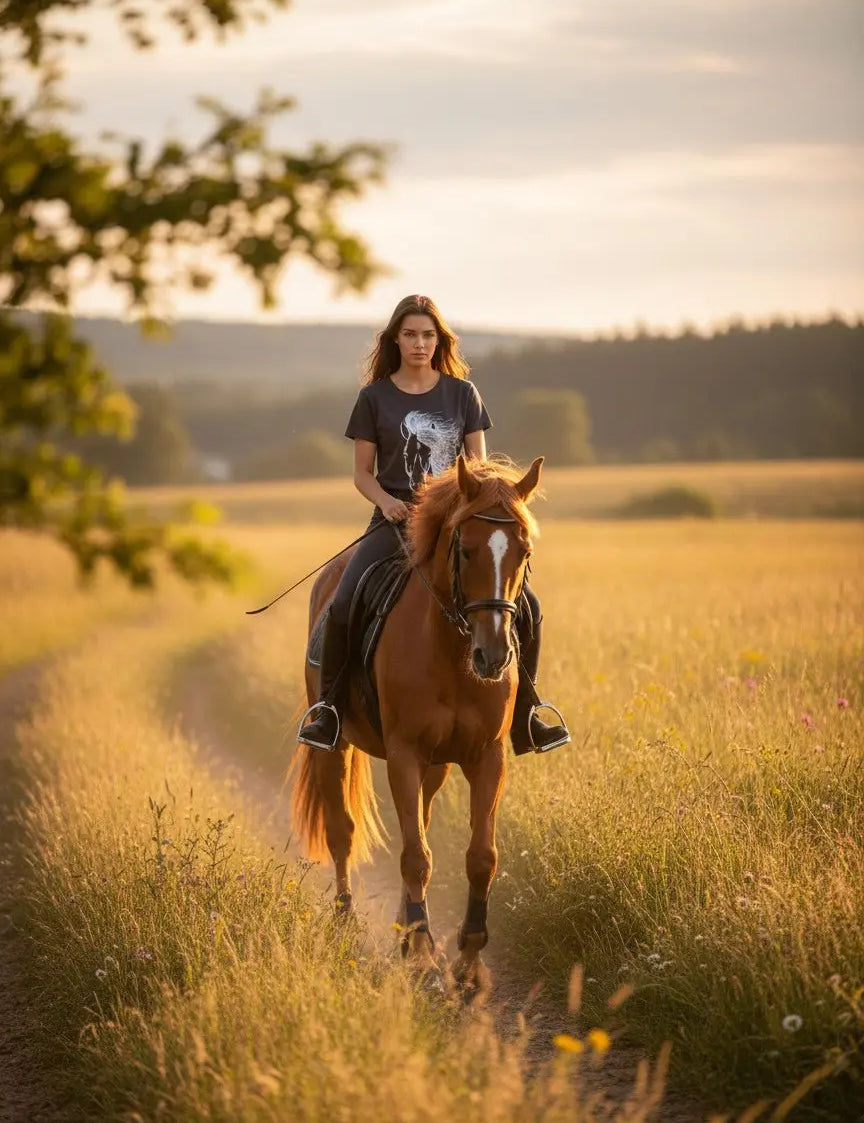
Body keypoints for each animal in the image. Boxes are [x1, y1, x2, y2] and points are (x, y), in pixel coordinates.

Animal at [291, 454, 543, 988]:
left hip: (437, 764)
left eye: (524, 551)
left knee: (420, 822)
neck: (451, 652)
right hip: (336, 745)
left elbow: (479, 856)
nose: (493, 656)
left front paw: (467, 962)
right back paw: (347, 923)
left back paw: (407, 931)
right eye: (464, 550)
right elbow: (414, 856)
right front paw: (425, 957)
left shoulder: (487, 757)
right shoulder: (403, 754)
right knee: (342, 831)